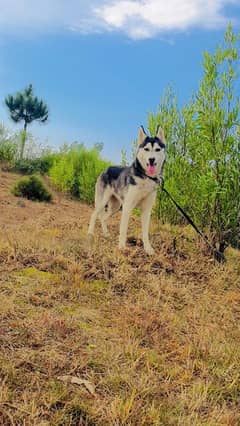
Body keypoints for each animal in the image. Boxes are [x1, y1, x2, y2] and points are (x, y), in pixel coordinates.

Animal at [87, 125, 166, 255]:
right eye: (146, 149)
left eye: (157, 149)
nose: (151, 159)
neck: (145, 177)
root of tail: (106, 169)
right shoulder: (127, 207)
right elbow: (123, 229)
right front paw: (122, 247)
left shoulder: (146, 210)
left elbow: (145, 233)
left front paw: (148, 249)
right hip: (102, 202)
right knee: (94, 215)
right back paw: (90, 233)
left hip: (115, 206)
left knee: (103, 218)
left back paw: (106, 234)